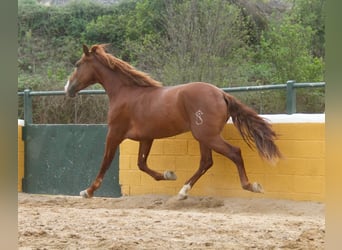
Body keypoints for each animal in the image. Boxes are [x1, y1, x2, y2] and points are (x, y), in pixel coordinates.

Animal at [65, 45, 282, 200]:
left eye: (78, 64)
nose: (68, 88)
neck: (125, 93)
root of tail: (221, 94)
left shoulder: (115, 133)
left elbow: (106, 162)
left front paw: (88, 191)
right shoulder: (146, 138)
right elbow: (141, 164)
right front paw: (169, 174)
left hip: (207, 136)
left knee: (234, 153)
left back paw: (251, 186)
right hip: (204, 137)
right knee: (206, 161)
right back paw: (183, 191)